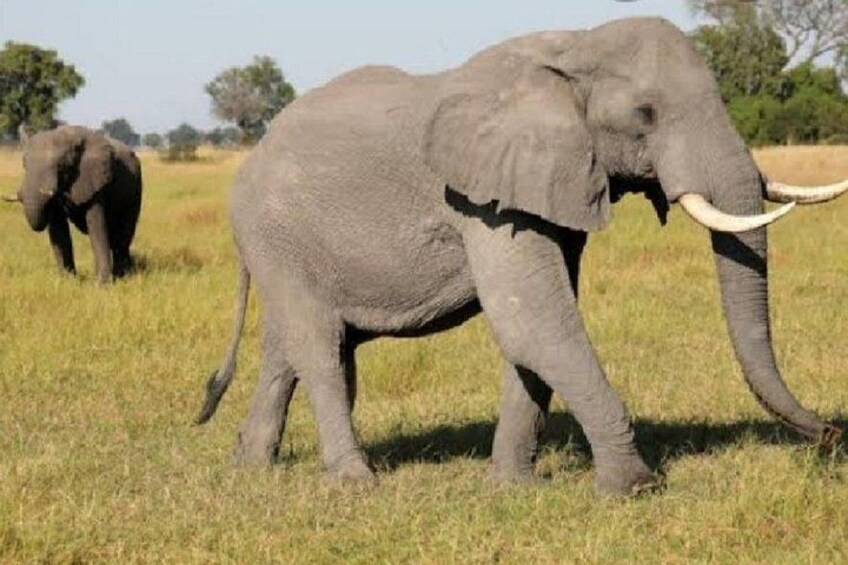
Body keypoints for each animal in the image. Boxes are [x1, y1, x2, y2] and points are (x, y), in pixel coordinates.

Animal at [10, 125, 143, 284]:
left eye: (60, 167)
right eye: (24, 164)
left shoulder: (94, 179)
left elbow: (97, 229)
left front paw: (101, 284)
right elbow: (58, 231)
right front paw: (67, 281)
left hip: (136, 189)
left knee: (123, 236)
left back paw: (124, 276)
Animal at [196, 17, 847, 496]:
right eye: (646, 115)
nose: (831, 436)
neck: (575, 45)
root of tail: (251, 157)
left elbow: (535, 331)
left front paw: (510, 489)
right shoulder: (481, 198)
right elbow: (534, 321)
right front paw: (632, 489)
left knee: (292, 348)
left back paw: (249, 468)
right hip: (273, 233)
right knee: (320, 347)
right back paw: (356, 484)